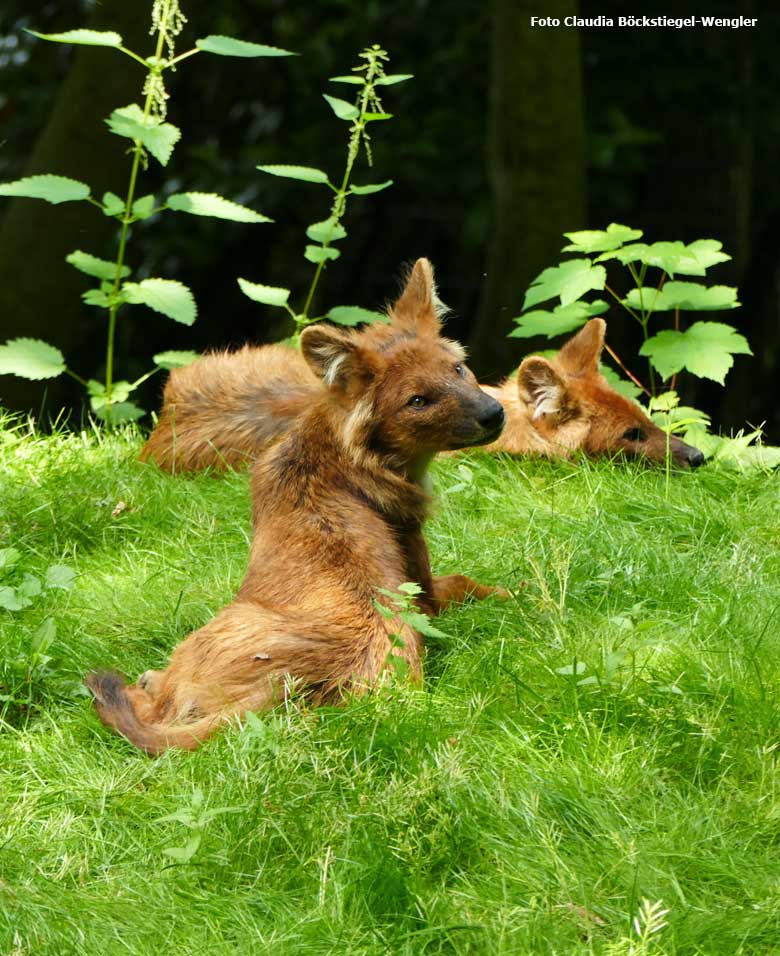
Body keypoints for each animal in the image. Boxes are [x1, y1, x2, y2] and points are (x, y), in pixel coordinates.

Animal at [88, 260, 508, 756]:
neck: (333, 459)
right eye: (418, 400)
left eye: (458, 368)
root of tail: (290, 689)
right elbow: (464, 583)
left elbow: (464, 583)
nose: (494, 414)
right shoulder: (420, 581)